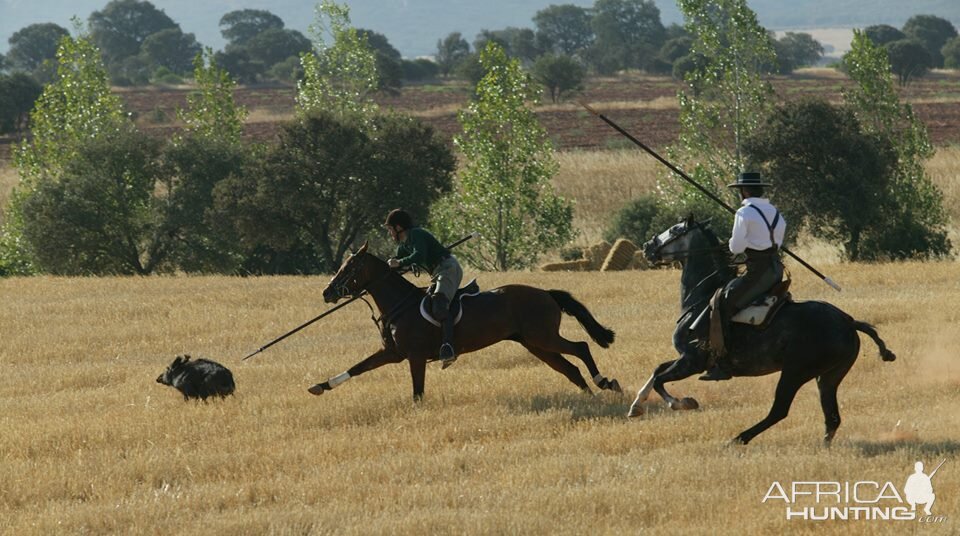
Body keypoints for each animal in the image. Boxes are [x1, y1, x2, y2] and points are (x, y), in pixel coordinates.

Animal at [308, 243, 624, 402]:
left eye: (349, 268)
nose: (326, 292)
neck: (399, 305)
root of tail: (546, 293)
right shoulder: (393, 353)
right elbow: (357, 367)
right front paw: (321, 386)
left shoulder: (415, 356)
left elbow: (418, 392)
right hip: (535, 344)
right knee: (569, 368)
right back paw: (590, 396)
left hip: (543, 337)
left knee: (581, 347)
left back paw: (606, 382)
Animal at [628, 216, 896, 446]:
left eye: (675, 229)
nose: (647, 247)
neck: (701, 298)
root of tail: (848, 321)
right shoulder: (686, 358)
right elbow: (657, 370)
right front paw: (636, 406)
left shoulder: (692, 361)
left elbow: (661, 379)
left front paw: (683, 403)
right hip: (829, 376)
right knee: (831, 417)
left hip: (794, 373)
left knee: (780, 410)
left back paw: (738, 439)